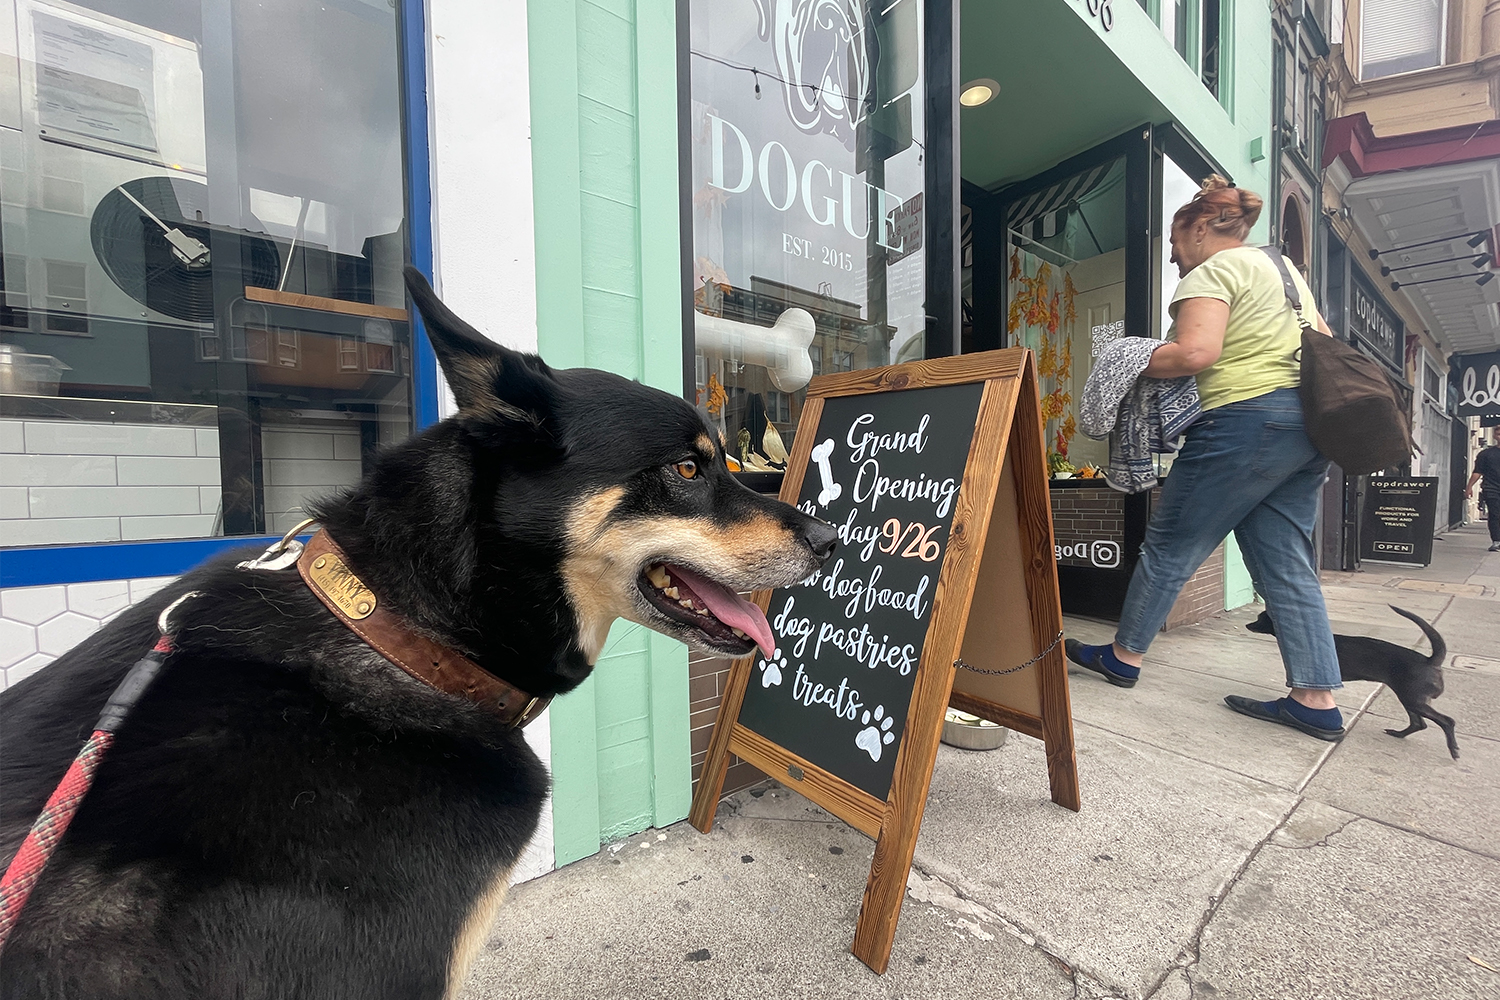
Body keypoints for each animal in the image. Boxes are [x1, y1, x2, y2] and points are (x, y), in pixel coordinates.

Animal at [1248, 602, 1458, 758]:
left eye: (1259, 619)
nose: (1247, 625)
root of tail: (1430, 660)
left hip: (1413, 698)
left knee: (1447, 721)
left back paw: (1454, 749)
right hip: (1411, 699)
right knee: (1418, 723)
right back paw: (1398, 734)